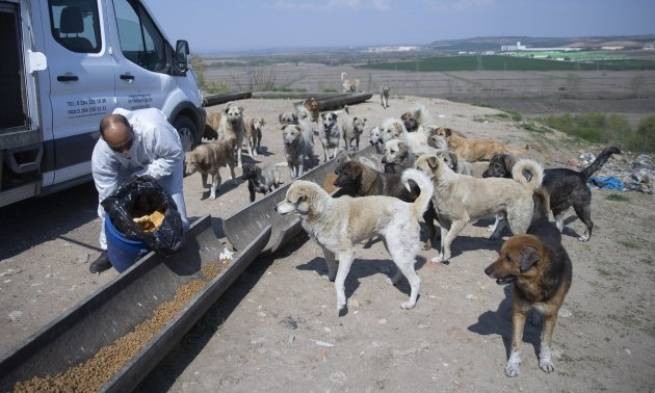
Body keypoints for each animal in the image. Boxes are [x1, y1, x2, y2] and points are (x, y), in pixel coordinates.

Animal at [484, 145, 624, 240]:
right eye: (489, 164)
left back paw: (585, 237)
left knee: (590, 223)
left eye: (497, 166)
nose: (483, 175)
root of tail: (581, 174)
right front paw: (495, 233)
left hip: (581, 208)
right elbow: (500, 222)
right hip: (558, 211)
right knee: (560, 226)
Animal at [484, 214, 572, 376]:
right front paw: (513, 365)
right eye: (500, 254)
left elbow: (546, 342)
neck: (535, 283)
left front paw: (546, 361)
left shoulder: (551, 316)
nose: (486, 271)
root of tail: (544, 220)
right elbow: (516, 342)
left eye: (509, 258)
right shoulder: (519, 312)